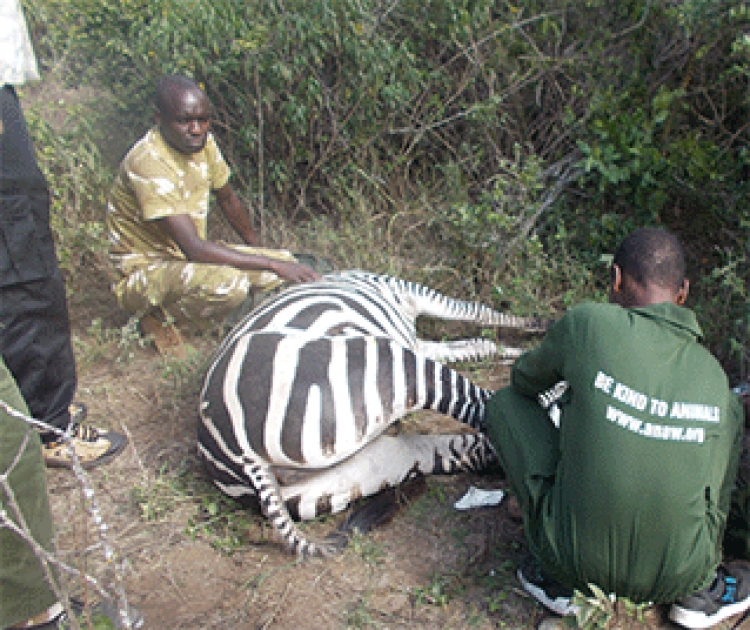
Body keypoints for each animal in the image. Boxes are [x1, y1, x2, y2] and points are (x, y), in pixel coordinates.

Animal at [197, 272, 544, 556]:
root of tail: (243, 454)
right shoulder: (407, 292)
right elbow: (478, 313)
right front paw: (538, 329)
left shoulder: (419, 338)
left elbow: (480, 344)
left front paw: (519, 349)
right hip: (385, 360)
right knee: (485, 409)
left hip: (349, 473)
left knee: (472, 450)